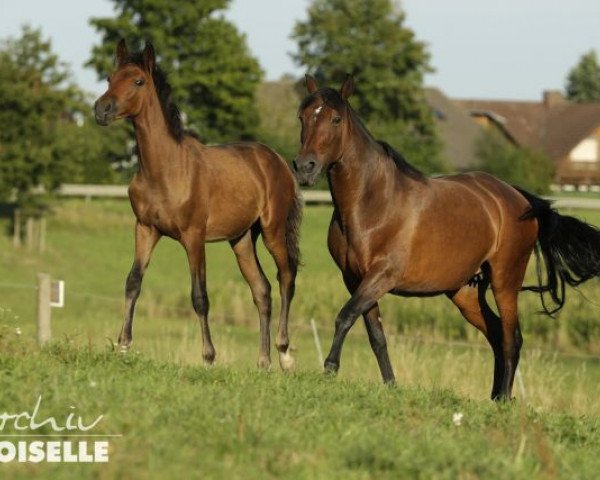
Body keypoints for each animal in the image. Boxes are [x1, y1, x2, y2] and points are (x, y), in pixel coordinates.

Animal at [93, 41, 300, 372]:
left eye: (138, 81)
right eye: (110, 77)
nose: (101, 110)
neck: (166, 169)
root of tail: (277, 160)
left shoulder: (193, 237)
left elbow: (199, 296)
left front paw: (209, 357)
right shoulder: (145, 229)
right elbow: (133, 282)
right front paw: (122, 346)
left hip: (273, 231)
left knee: (286, 279)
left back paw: (284, 354)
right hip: (241, 239)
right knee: (262, 290)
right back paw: (263, 361)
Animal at [294, 74, 600, 398]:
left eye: (336, 119)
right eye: (303, 116)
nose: (304, 167)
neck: (373, 203)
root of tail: (521, 200)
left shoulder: (382, 275)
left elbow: (345, 315)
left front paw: (330, 369)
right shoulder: (355, 278)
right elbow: (375, 335)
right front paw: (390, 385)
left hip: (505, 282)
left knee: (511, 338)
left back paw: (504, 399)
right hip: (465, 291)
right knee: (495, 335)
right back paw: (493, 397)